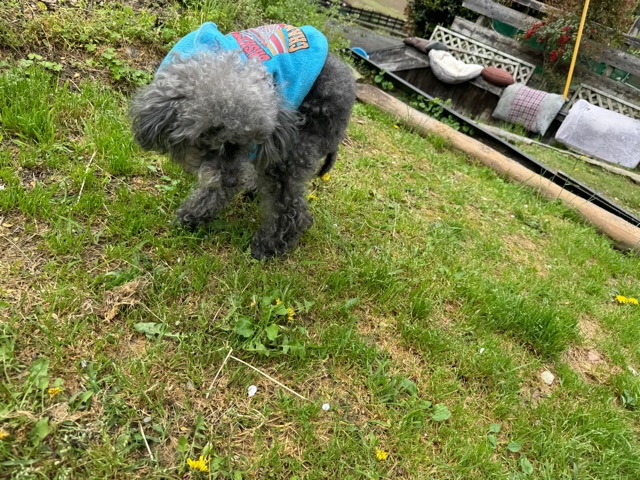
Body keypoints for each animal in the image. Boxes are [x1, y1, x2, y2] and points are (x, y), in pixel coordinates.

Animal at [129, 22, 356, 259]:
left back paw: (269, 245)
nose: (231, 181)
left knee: (291, 207)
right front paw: (192, 218)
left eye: (246, 141)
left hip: (295, 149)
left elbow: (216, 189)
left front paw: (191, 216)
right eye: (207, 140)